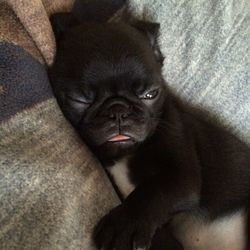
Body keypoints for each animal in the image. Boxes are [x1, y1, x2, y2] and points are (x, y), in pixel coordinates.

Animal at [48, 13, 250, 250]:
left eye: (150, 94)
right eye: (79, 99)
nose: (119, 111)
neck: (125, 153)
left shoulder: (181, 176)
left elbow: (153, 192)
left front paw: (124, 226)